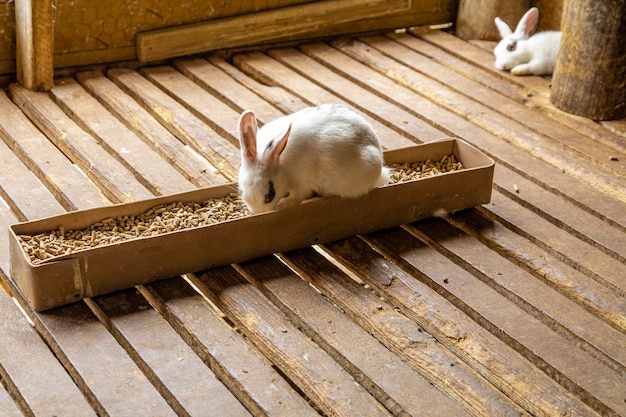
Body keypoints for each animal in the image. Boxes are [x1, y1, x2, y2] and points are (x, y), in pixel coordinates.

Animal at [236, 103, 388, 213]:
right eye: (241, 191)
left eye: (270, 194)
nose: (259, 212)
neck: (281, 165)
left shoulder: (303, 182)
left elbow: (298, 196)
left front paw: (282, 204)